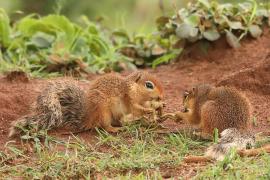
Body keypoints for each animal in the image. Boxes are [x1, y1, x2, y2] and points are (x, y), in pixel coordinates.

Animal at [8, 71, 163, 137]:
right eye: (149, 85)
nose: (162, 96)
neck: (133, 88)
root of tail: (88, 117)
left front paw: (158, 106)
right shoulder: (128, 98)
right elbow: (137, 109)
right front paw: (149, 111)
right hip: (104, 112)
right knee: (104, 126)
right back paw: (115, 129)